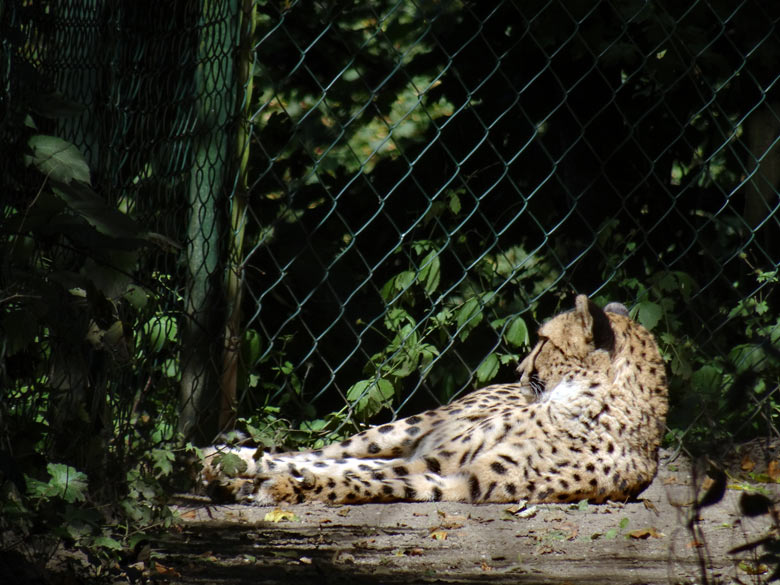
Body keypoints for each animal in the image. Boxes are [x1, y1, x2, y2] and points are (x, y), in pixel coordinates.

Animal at [203, 294, 672, 504]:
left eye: (542, 342)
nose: (519, 370)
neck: (583, 406)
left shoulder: (460, 479)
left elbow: (371, 480)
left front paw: (284, 487)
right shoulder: (440, 458)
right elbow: (334, 466)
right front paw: (253, 473)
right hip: (403, 428)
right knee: (318, 452)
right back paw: (223, 458)